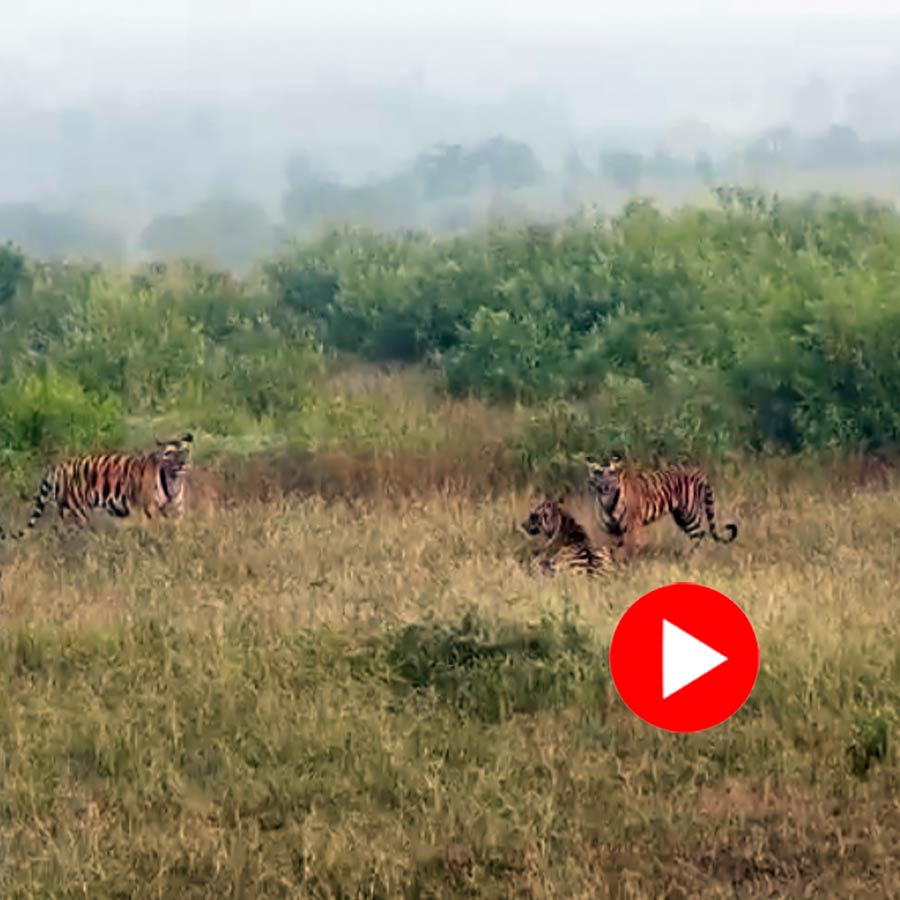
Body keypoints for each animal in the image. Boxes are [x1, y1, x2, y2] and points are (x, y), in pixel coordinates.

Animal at [0, 433, 194, 540]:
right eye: (169, 453)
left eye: (184, 451)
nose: (182, 464)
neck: (173, 481)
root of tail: (56, 468)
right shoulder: (147, 513)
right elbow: (153, 534)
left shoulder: (177, 512)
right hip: (76, 515)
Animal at [585, 456, 737, 560]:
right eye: (598, 472)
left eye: (611, 473)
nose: (606, 486)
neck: (607, 502)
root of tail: (699, 471)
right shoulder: (612, 531)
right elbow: (613, 553)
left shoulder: (631, 530)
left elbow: (629, 553)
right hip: (681, 517)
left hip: (689, 515)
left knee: (701, 535)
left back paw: (694, 559)